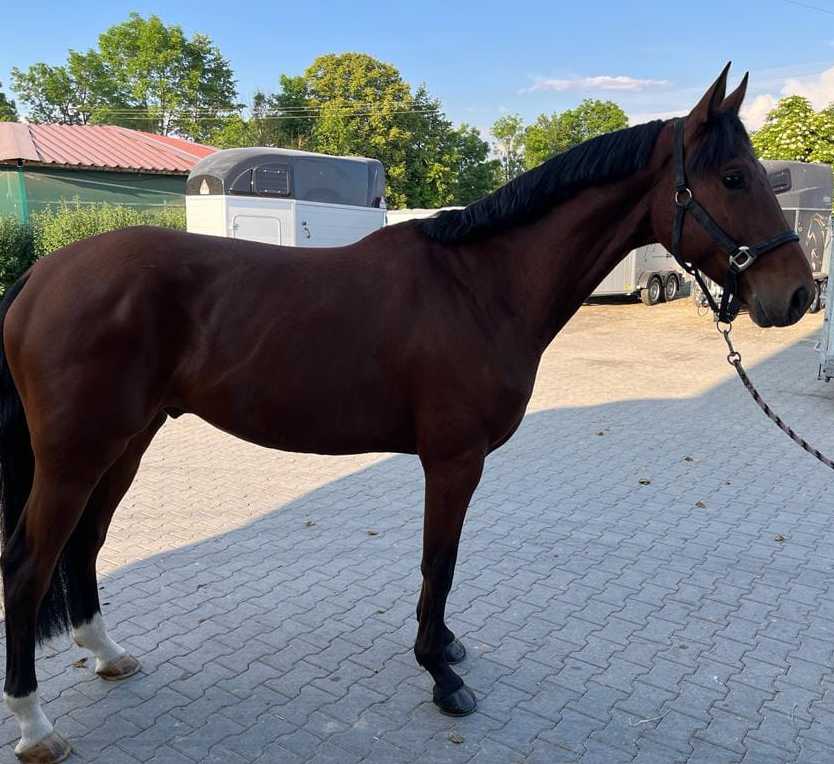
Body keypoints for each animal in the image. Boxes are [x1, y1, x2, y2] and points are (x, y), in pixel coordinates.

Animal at [0, 64, 814, 762]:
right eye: (733, 177)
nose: (798, 294)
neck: (480, 284)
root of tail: (42, 274)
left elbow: (442, 566)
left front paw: (445, 649)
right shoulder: (454, 460)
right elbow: (439, 562)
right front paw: (442, 676)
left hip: (125, 443)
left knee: (84, 545)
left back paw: (107, 655)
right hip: (77, 453)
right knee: (29, 566)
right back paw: (36, 725)